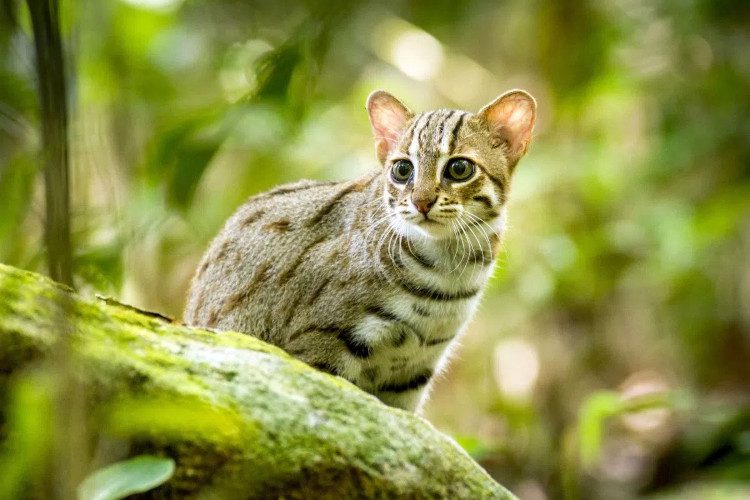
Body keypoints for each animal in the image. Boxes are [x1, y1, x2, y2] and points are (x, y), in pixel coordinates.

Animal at [188, 89, 540, 410]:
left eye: (459, 168)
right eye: (402, 169)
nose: (421, 202)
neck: (447, 271)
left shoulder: (412, 373)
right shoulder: (319, 347)